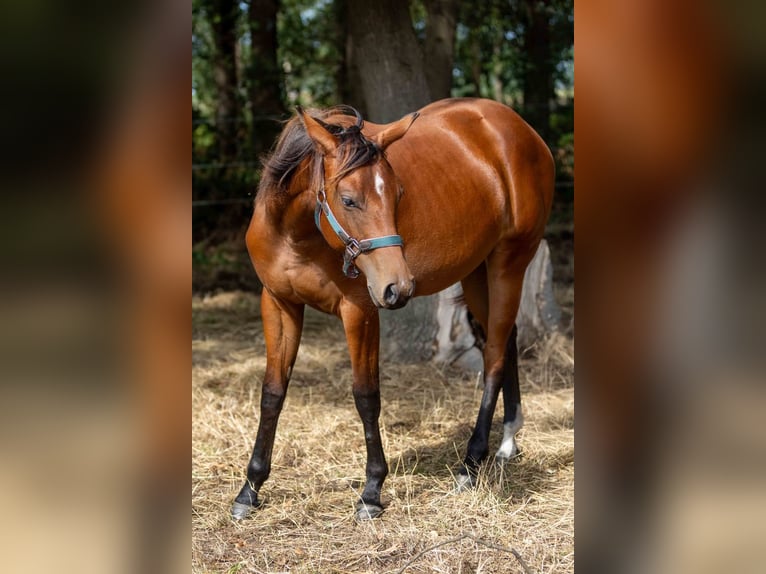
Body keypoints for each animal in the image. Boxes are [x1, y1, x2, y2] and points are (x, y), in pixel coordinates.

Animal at [233, 98, 554, 521]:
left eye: (399, 195)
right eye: (348, 199)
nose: (398, 286)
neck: (296, 234)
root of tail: (523, 131)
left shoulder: (360, 312)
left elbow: (366, 395)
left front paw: (371, 491)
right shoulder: (278, 303)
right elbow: (272, 393)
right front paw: (250, 489)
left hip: (508, 264)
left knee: (497, 355)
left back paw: (471, 462)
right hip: (476, 272)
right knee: (506, 340)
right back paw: (507, 441)